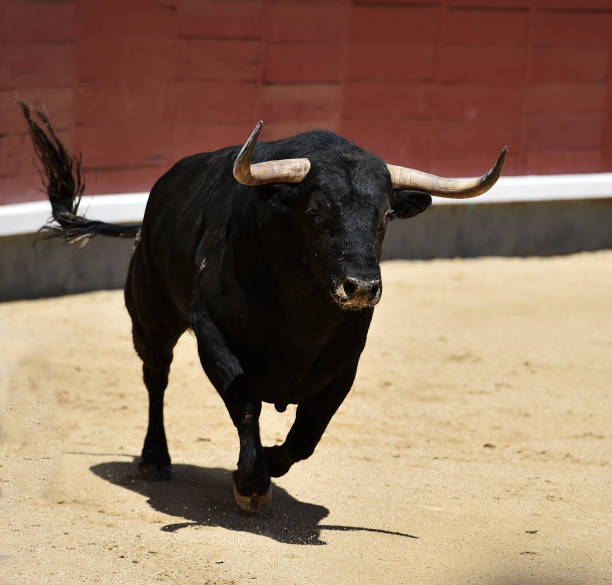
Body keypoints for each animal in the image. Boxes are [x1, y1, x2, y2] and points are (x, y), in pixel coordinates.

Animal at [21, 104, 504, 512]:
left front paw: (270, 463)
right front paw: (251, 484)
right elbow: (246, 401)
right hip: (150, 317)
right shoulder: (212, 332)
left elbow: (309, 432)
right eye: (314, 212)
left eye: (385, 215)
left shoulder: (345, 362)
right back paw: (155, 459)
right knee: (156, 378)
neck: (303, 312)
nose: (362, 286)